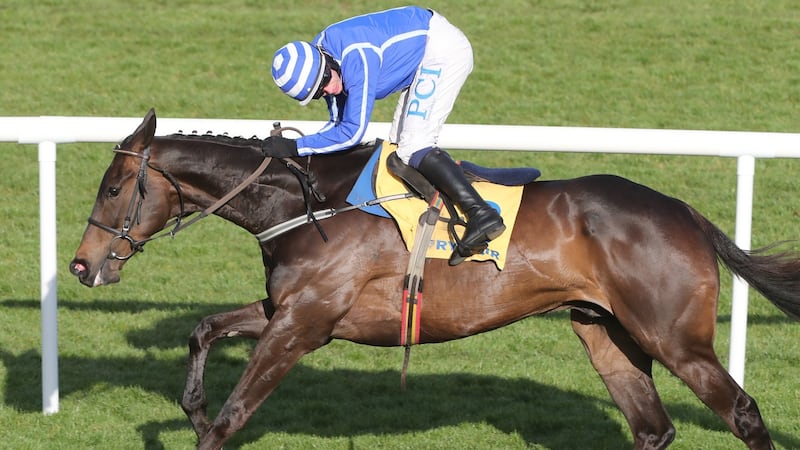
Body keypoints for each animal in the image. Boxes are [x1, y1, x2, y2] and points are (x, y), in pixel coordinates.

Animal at [70, 110, 800, 450]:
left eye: (113, 188)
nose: (81, 264)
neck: (308, 203)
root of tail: (684, 212)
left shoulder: (303, 324)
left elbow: (232, 416)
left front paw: (205, 417)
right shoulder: (288, 308)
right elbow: (203, 329)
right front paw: (190, 403)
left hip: (674, 336)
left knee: (741, 410)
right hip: (606, 332)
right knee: (653, 428)